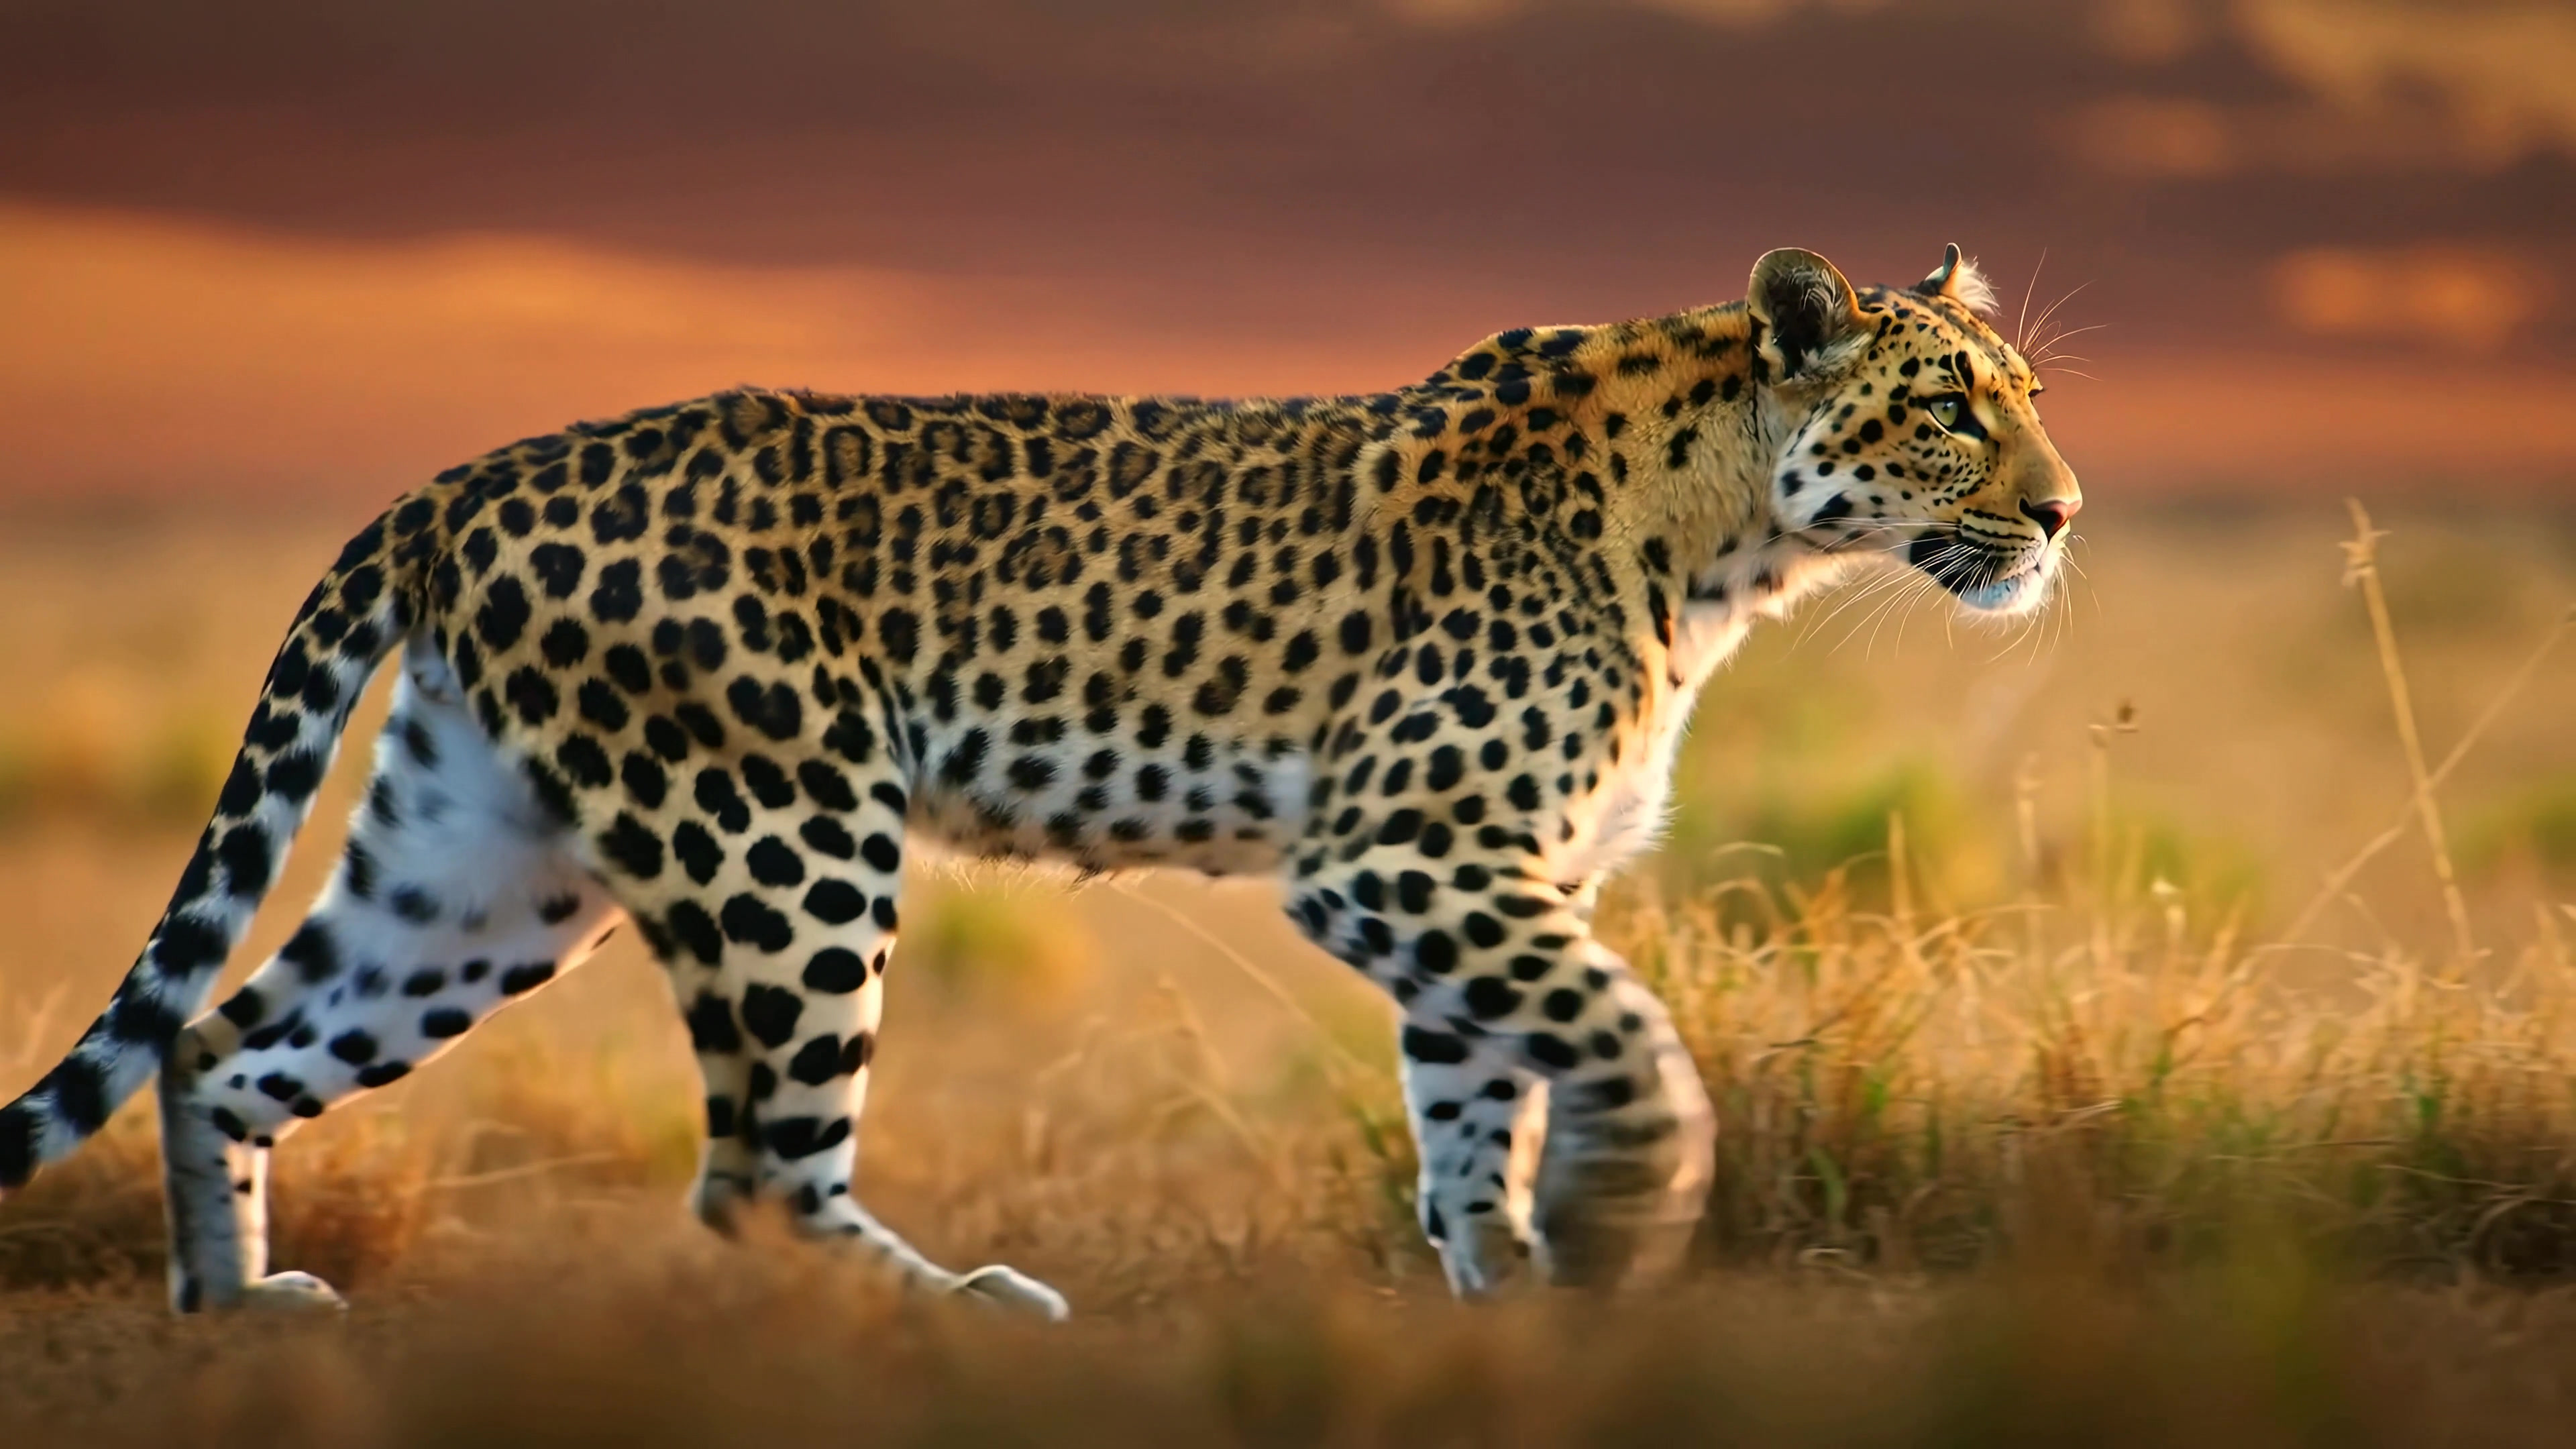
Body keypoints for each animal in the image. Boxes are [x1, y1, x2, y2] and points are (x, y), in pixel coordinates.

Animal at [0, 245, 2080, 1318]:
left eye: (2033, 398)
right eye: (1948, 408)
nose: (2065, 513)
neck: (1735, 539)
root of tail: (461, 478)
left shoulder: (1486, 879)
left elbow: (1477, 1094)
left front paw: (1509, 1278)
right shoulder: (1400, 856)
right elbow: (1628, 1036)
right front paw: (1624, 1217)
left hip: (483, 866)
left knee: (223, 1043)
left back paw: (235, 1317)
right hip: (785, 839)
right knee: (754, 1180)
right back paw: (961, 1313)